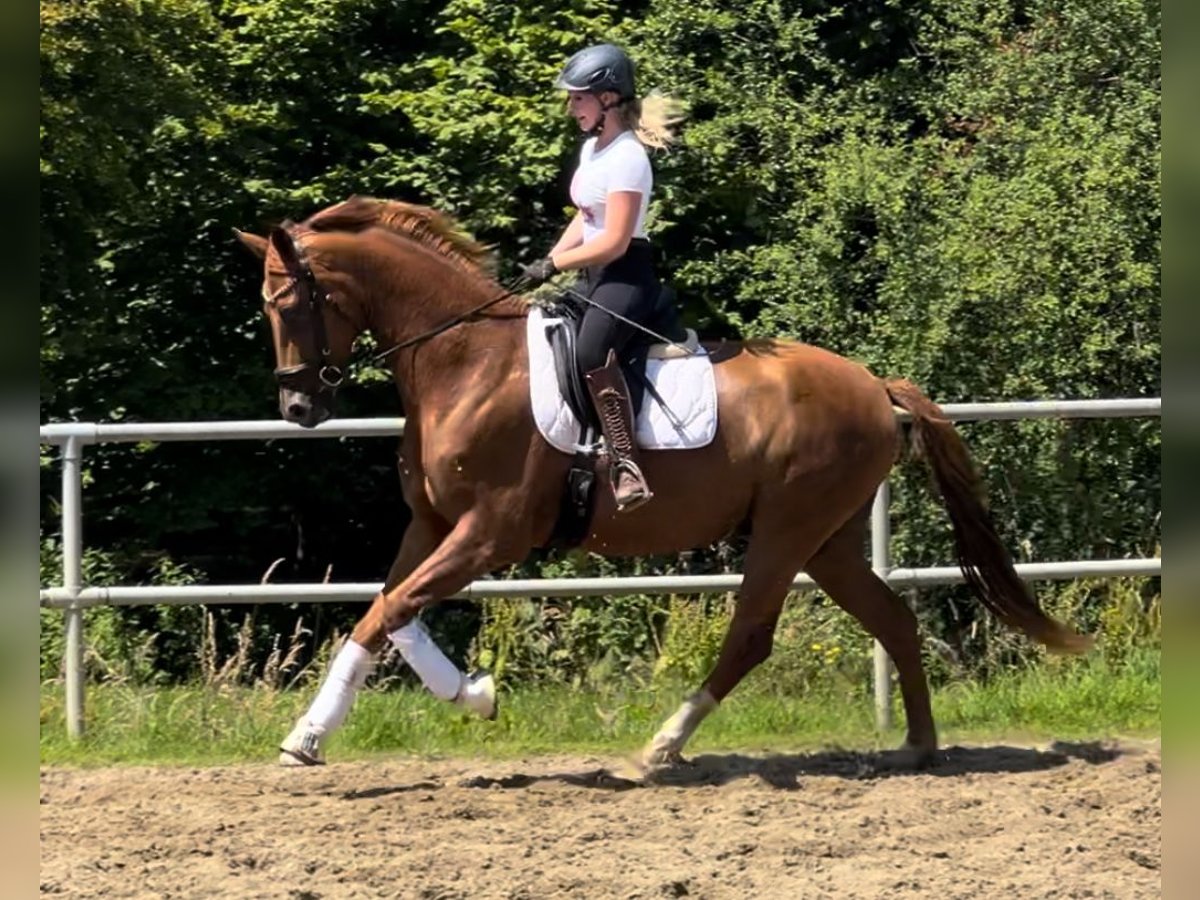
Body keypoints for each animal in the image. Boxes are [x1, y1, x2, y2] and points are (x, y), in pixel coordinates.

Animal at [234, 195, 1089, 768]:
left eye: (288, 303)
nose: (299, 407)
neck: (464, 361)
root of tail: (875, 387)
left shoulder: (491, 533)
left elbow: (389, 612)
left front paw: (318, 735)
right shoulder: (434, 525)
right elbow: (388, 609)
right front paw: (456, 697)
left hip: (788, 530)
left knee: (751, 635)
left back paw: (664, 744)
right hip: (829, 540)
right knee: (894, 621)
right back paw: (918, 747)